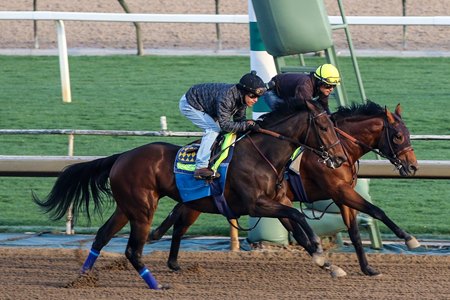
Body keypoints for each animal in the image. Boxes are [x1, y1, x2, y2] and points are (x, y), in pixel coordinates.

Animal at [33, 98, 346, 288]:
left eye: (334, 124)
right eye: (323, 126)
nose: (339, 158)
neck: (263, 154)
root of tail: (121, 156)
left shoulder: (275, 201)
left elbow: (297, 226)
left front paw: (329, 265)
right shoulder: (256, 204)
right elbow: (299, 217)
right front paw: (320, 252)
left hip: (127, 207)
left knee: (102, 236)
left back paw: (82, 277)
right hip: (143, 208)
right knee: (133, 249)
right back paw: (157, 285)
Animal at [149, 101, 420, 276]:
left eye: (408, 133)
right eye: (398, 136)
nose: (413, 166)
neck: (342, 146)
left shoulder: (342, 194)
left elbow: (354, 231)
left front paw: (367, 268)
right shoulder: (339, 190)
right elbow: (376, 211)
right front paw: (409, 238)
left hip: (201, 202)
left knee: (180, 221)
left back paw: (168, 254)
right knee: (180, 222)